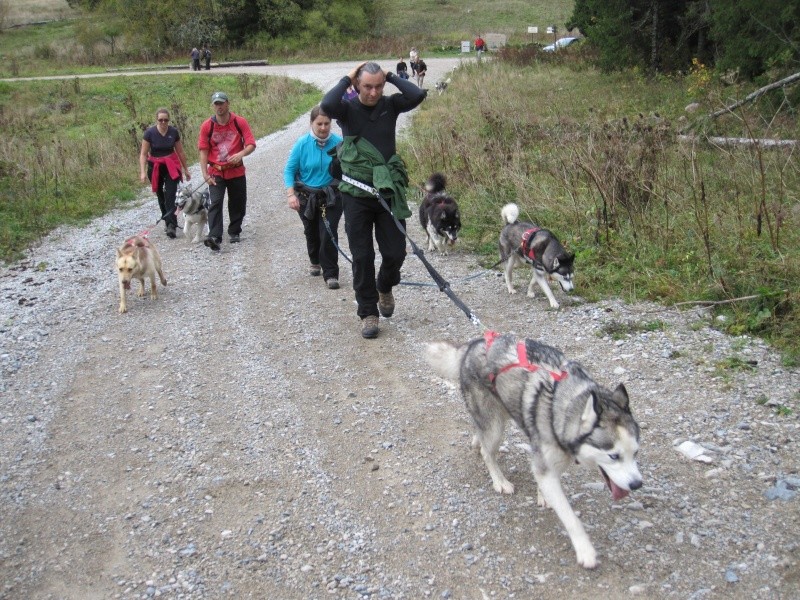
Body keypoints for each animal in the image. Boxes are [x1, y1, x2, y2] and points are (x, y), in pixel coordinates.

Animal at [424, 330, 644, 568]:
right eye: (614, 456)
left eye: (636, 453)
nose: (637, 484)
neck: (563, 406)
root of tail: (474, 344)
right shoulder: (547, 463)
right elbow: (570, 517)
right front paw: (585, 550)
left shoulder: (553, 459)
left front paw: (543, 495)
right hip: (495, 426)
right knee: (487, 451)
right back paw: (499, 480)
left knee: (479, 431)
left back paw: (476, 440)